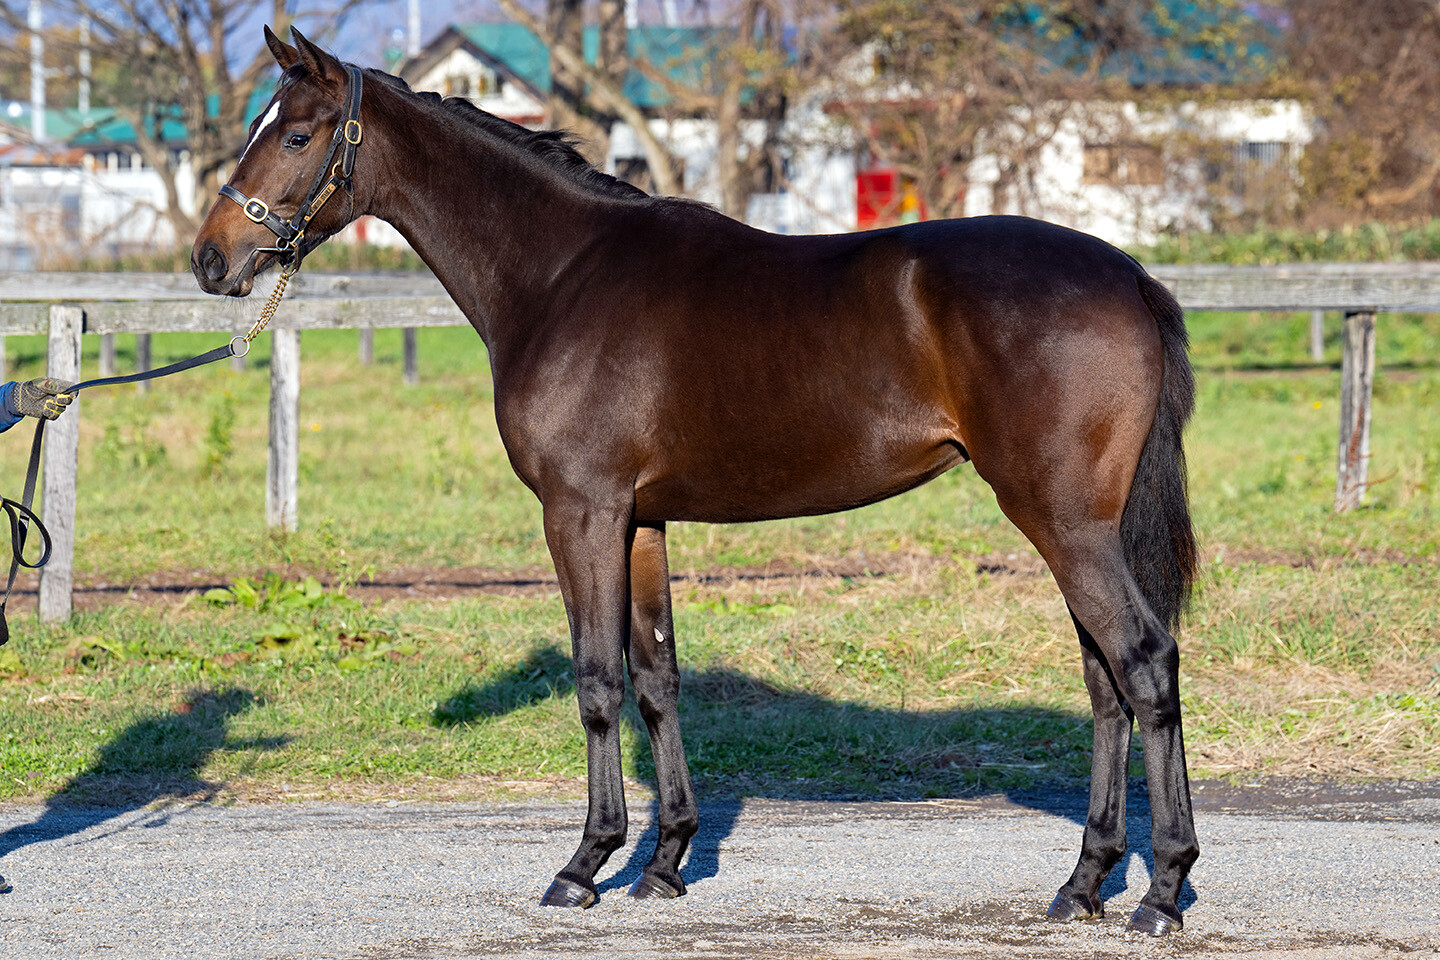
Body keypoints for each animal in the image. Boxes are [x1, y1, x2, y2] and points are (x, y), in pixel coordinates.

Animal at [191, 28, 1203, 938]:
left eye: (296, 135)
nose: (210, 259)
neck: (561, 275)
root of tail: (1128, 276)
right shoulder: (641, 522)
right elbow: (657, 677)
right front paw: (666, 860)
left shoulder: (581, 512)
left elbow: (597, 679)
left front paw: (585, 864)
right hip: (1077, 525)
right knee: (1106, 680)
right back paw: (1085, 882)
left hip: (1063, 520)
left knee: (1144, 663)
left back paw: (1159, 892)